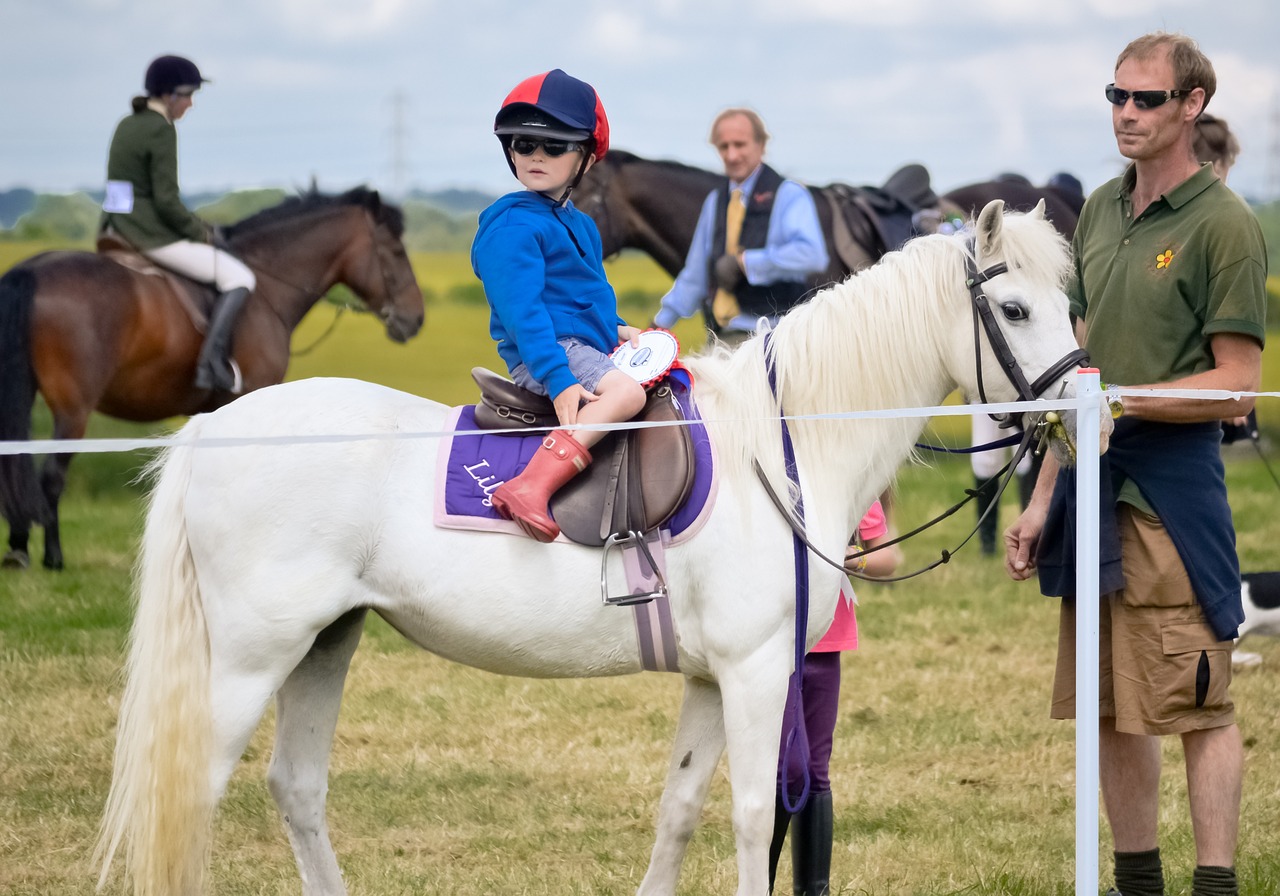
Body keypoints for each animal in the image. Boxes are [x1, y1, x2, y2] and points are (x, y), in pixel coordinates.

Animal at [0, 185, 430, 570]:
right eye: (396, 251)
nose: (415, 319)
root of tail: (30, 268)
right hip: (74, 409)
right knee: (52, 475)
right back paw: (53, 557)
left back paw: (19, 550)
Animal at [97, 203, 1111, 896]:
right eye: (1014, 308)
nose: (1084, 408)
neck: (777, 444)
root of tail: (213, 428)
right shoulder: (754, 673)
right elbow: (753, 815)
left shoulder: (710, 679)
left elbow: (681, 809)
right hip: (251, 659)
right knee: (193, 792)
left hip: (324, 644)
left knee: (297, 788)